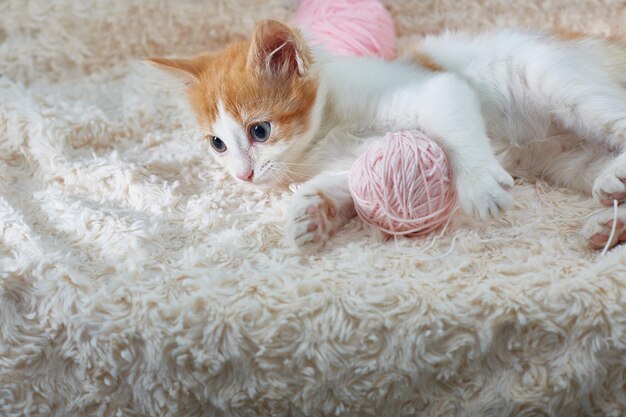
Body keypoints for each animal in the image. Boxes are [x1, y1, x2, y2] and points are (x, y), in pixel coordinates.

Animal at [147, 20, 626, 250]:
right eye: (217, 144)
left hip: (555, 78)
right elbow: (347, 184)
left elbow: (455, 123)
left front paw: (480, 186)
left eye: (259, 130)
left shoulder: (437, 87)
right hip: (568, 161)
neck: (328, 128)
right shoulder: (353, 159)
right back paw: (607, 218)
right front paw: (310, 213)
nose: (242, 176)